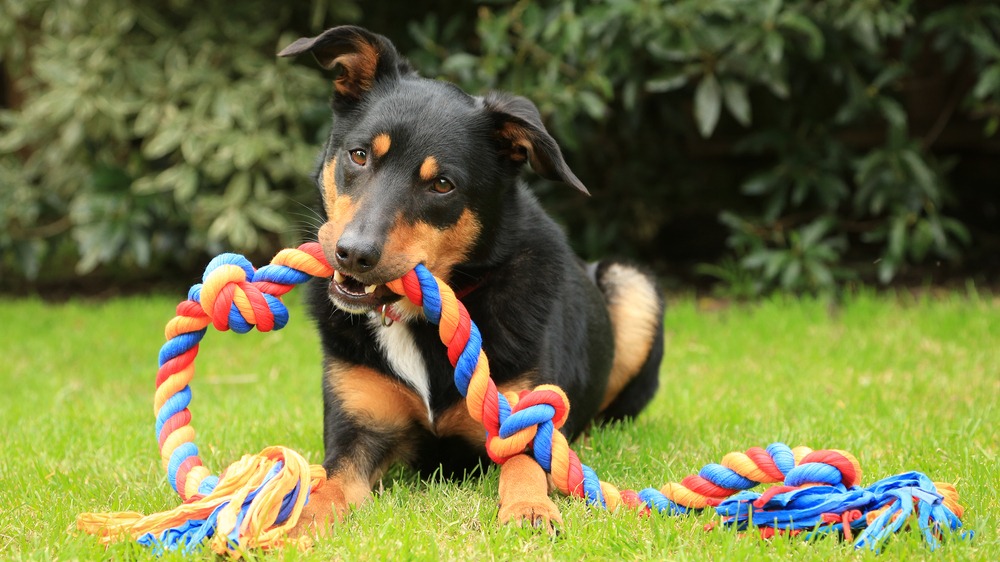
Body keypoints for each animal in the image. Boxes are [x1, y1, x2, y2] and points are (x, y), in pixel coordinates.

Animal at [278, 26, 664, 532]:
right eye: (359, 155)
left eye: (442, 184)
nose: (354, 253)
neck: (425, 316)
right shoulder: (359, 428)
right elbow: (329, 485)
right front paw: (294, 521)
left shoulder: (520, 416)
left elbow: (524, 465)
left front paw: (529, 508)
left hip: (633, 284)